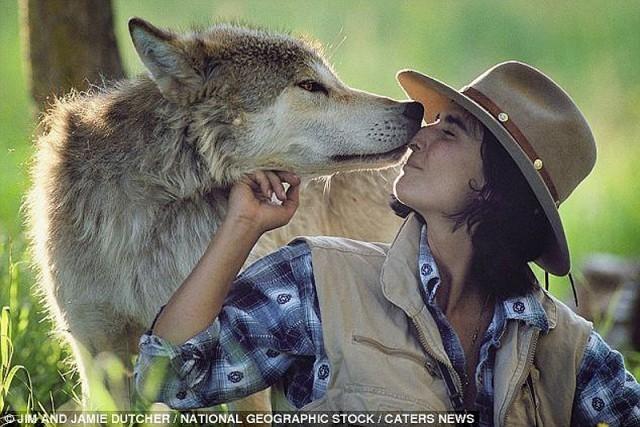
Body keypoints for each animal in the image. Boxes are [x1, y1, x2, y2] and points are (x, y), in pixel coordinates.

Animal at [27, 17, 422, 412]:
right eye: (310, 85)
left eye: (332, 81)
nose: (415, 109)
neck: (156, 214)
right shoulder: (98, 353)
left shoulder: (234, 351)